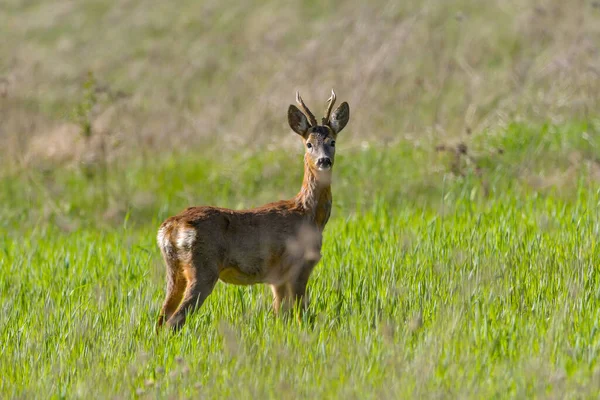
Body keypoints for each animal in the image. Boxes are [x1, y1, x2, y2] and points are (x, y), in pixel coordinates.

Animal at [157, 91, 350, 332]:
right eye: (308, 144)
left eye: (332, 141)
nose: (324, 160)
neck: (309, 214)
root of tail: (171, 227)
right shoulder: (299, 265)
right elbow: (301, 314)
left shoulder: (277, 278)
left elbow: (280, 315)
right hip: (203, 268)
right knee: (174, 320)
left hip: (174, 271)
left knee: (161, 318)